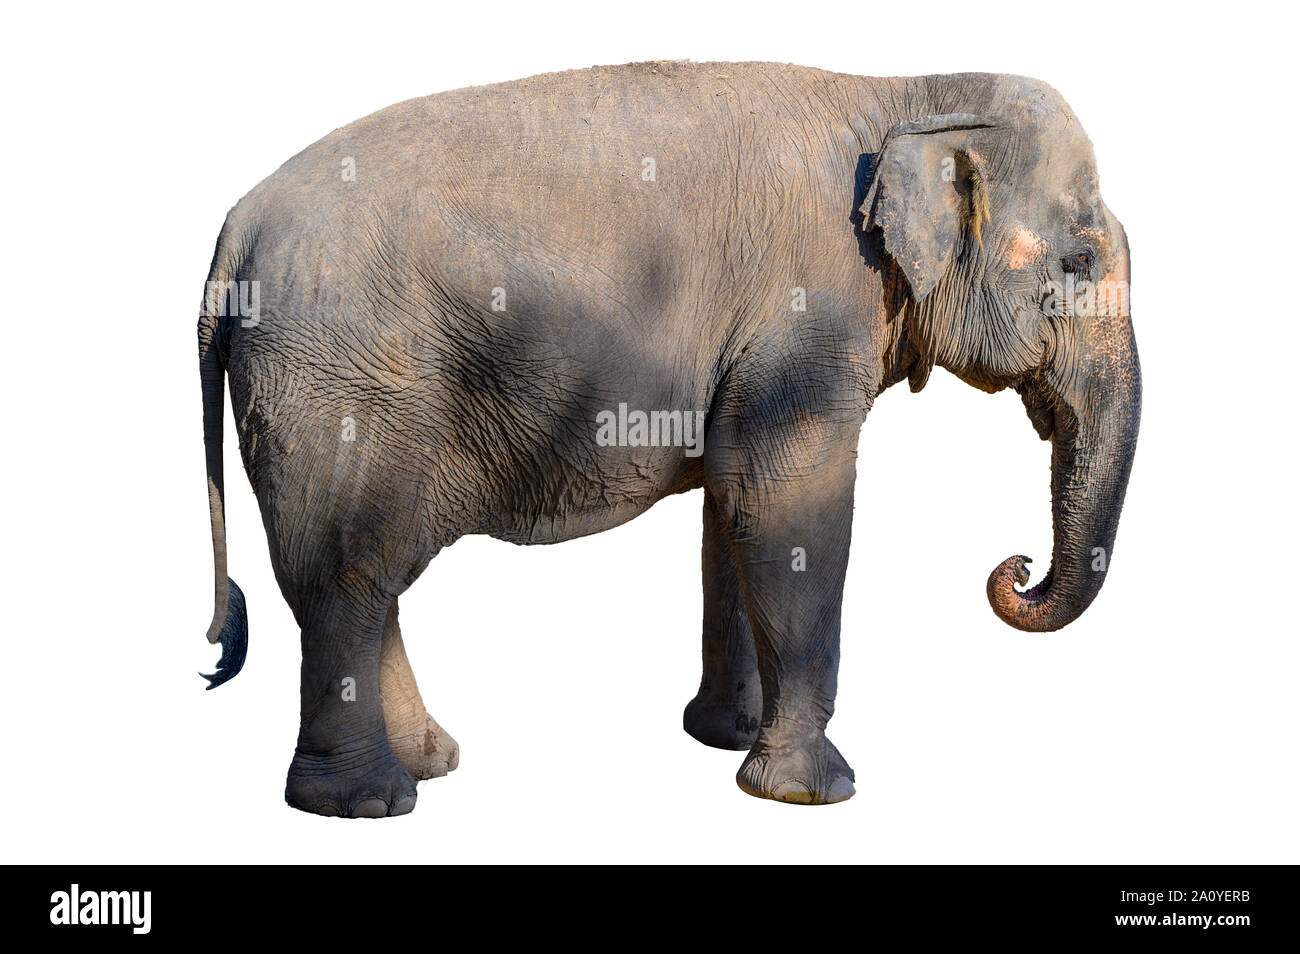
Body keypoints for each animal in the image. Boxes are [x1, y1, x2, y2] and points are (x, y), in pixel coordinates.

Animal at [197, 61, 1140, 817]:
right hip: (340, 385)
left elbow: (736, 501)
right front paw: (814, 792)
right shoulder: (809, 310)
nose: (1014, 567)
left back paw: (429, 763)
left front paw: (726, 738)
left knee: (371, 570)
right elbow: (788, 498)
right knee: (346, 572)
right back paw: (368, 803)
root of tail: (233, 230)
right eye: (1078, 265)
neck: (909, 94)